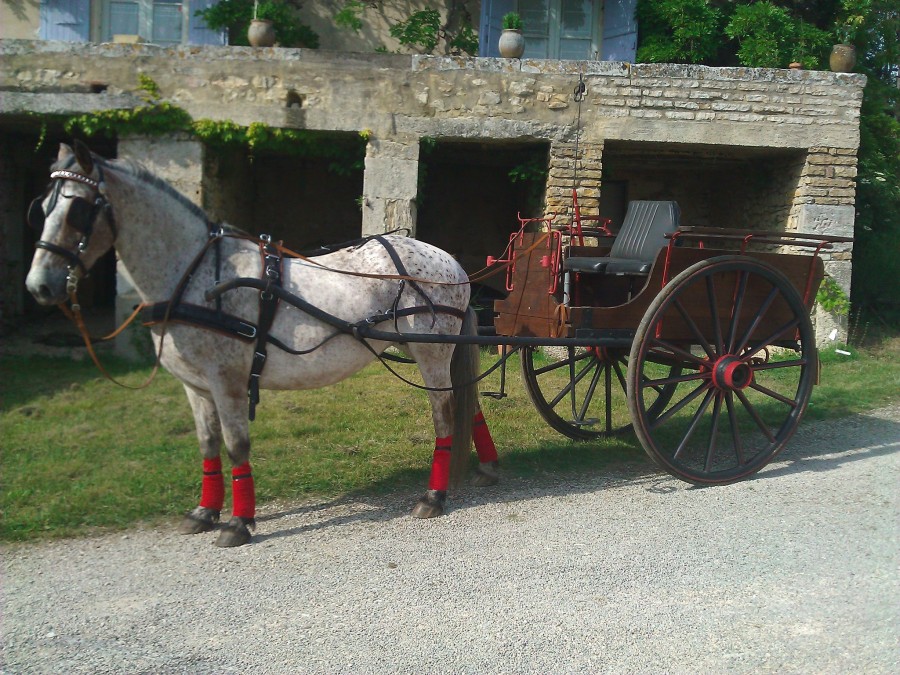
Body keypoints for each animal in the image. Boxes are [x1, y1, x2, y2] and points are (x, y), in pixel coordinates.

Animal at [25, 140, 501, 547]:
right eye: (43, 208)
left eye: (78, 210)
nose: (39, 286)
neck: (197, 278)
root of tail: (452, 263)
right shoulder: (196, 386)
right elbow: (208, 445)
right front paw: (204, 512)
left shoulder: (228, 382)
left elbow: (237, 446)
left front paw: (238, 522)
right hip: (432, 350)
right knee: (469, 402)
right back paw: (486, 466)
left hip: (431, 351)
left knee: (444, 414)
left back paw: (433, 497)